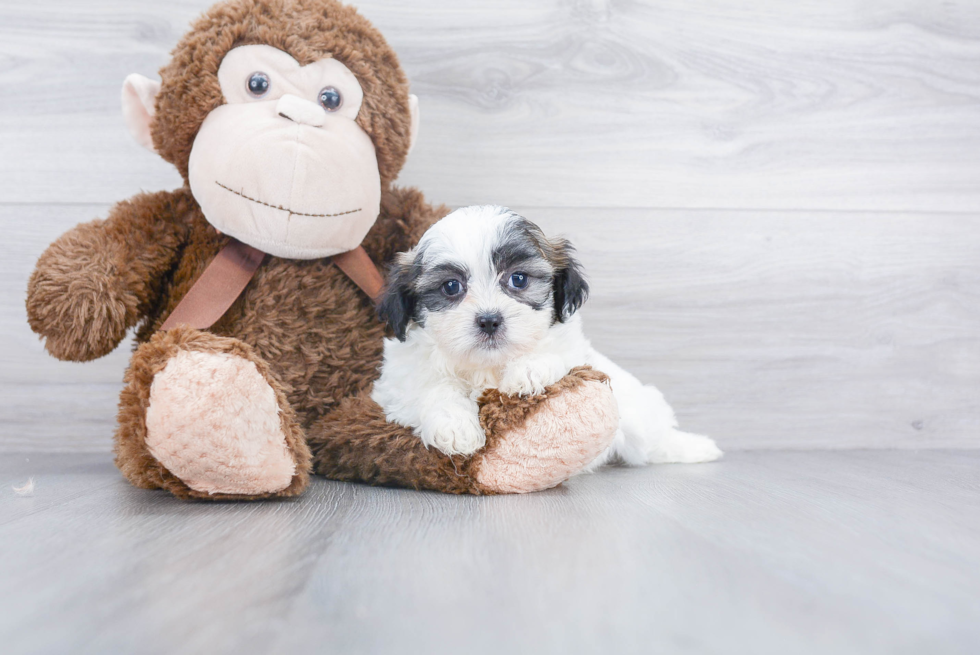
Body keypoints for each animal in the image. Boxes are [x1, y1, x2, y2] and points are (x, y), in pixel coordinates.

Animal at [372, 205, 724, 466]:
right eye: (450, 287)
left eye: (518, 279)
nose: (489, 320)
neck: (488, 366)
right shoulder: (399, 380)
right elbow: (430, 388)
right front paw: (455, 427)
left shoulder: (574, 352)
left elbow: (556, 356)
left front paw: (527, 370)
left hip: (637, 413)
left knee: (654, 438)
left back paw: (697, 447)